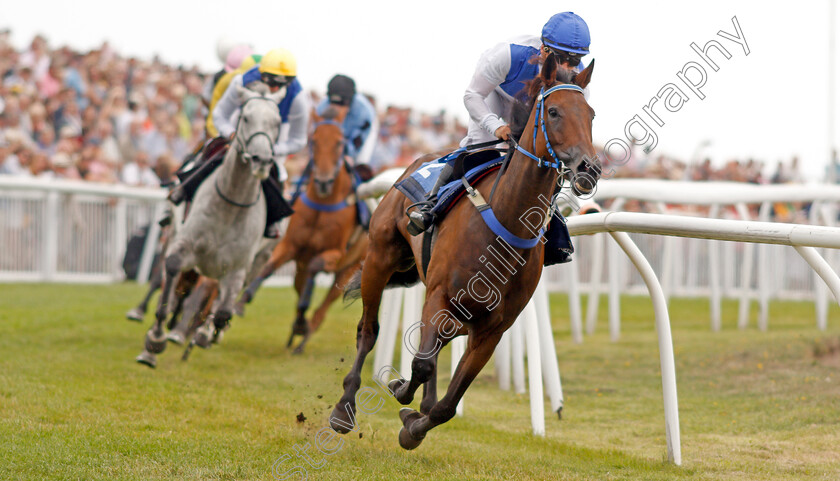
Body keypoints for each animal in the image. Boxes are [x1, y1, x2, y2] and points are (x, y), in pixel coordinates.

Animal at [135, 83, 286, 368]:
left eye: (277, 122)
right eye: (245, 117)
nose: (261, 160)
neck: (231, 204)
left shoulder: (237, 267)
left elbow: (223, 309)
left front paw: (205, 334)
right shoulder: (184, 245)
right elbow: (171, 274)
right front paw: (154, 341)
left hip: (260, 257)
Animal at [236, 109, 368, 356]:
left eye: (340, 142)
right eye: (313, 141)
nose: (323, 182)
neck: (323, 203)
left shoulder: (335, 253)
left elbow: (316, 270)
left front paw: (302, 321)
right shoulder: (290, 246)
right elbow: (268, 267)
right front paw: (242, 300)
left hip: (349, 270)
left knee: (322, 307)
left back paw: (303, 338)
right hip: (300, 266)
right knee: (300, 286)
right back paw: (295, 331)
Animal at [328, 57, 596, 450]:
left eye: (591, 114)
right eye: (555, 111)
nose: (589, 168)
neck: (506, 222)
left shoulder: (493, 328)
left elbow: (447, 405)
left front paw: (413, 425)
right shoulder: (440, 294)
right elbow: (421, 364)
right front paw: (400, 390)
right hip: (380, 256)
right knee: (369, 329)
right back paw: (344, 409)